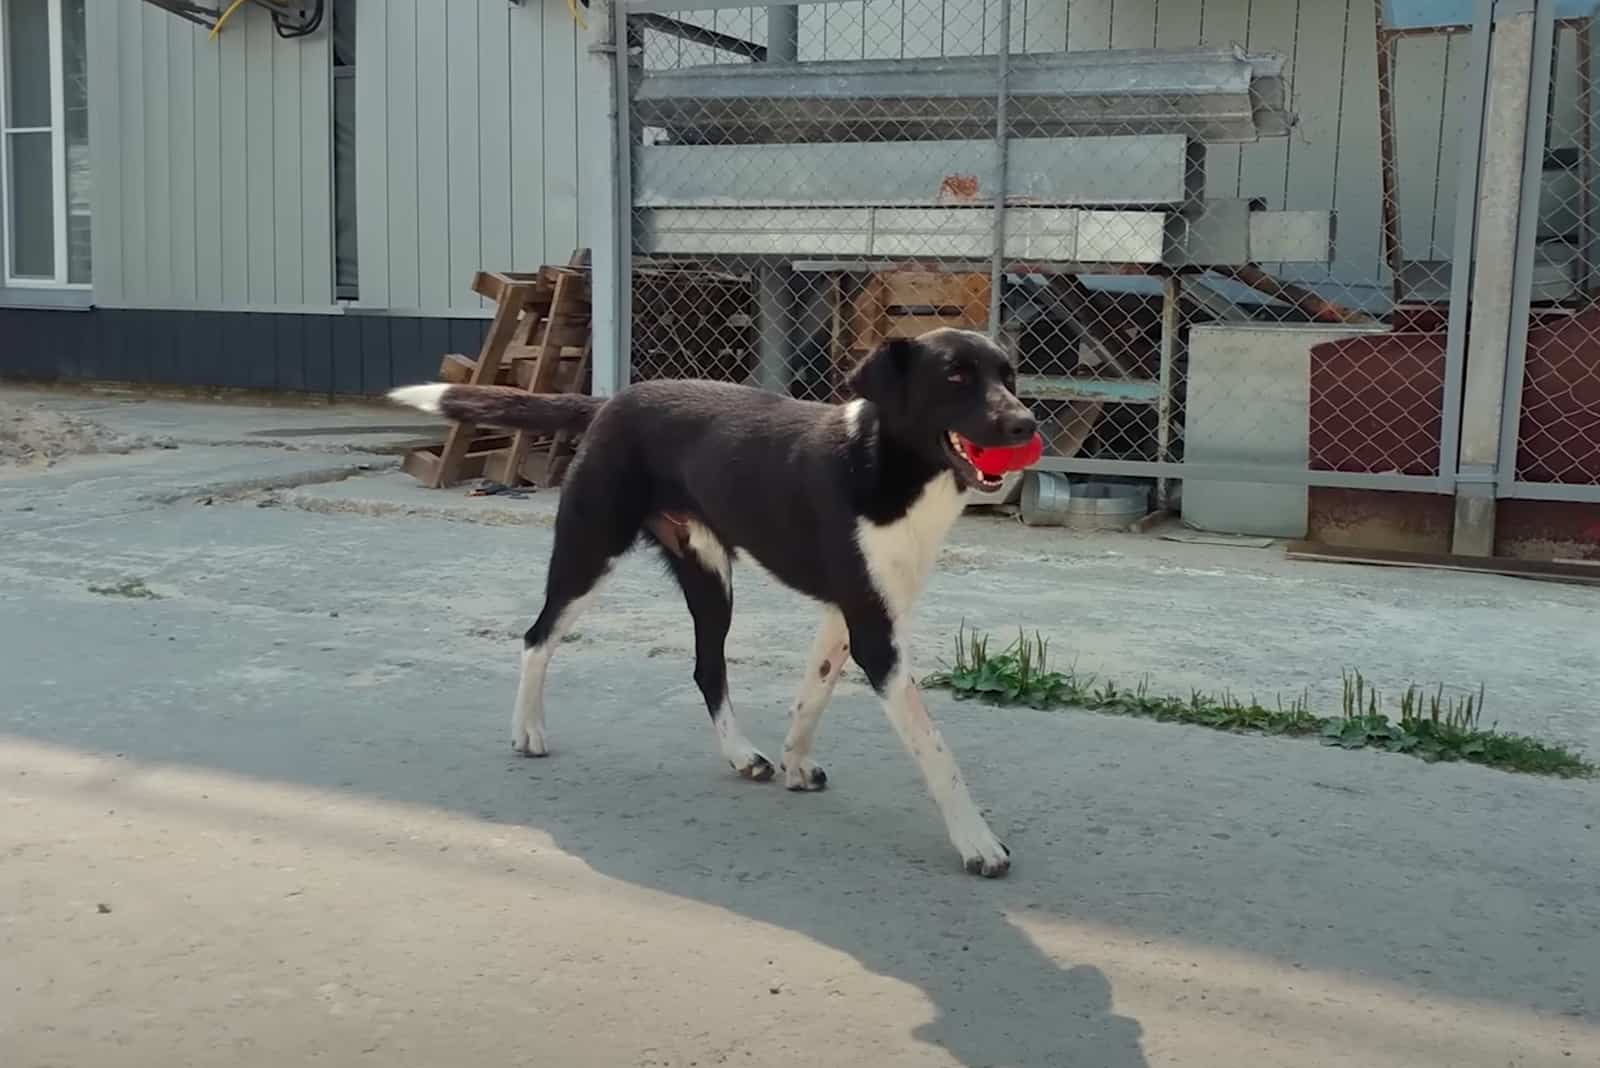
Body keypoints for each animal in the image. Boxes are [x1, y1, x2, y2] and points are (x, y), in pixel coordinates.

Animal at [387, 329, 1036, 882]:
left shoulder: (847, 614)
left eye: (1009, 374)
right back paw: (528, 729)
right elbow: (936, 750)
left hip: (707, 575)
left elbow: (813, 694)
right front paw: (977, 842)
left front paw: (794, 763)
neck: (887, 463)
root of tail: (610, 404)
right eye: (955, 375)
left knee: (707, 668)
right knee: (538, 636)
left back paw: (741, 754)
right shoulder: (876, 636)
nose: (1026, 422)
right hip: (590, 551)